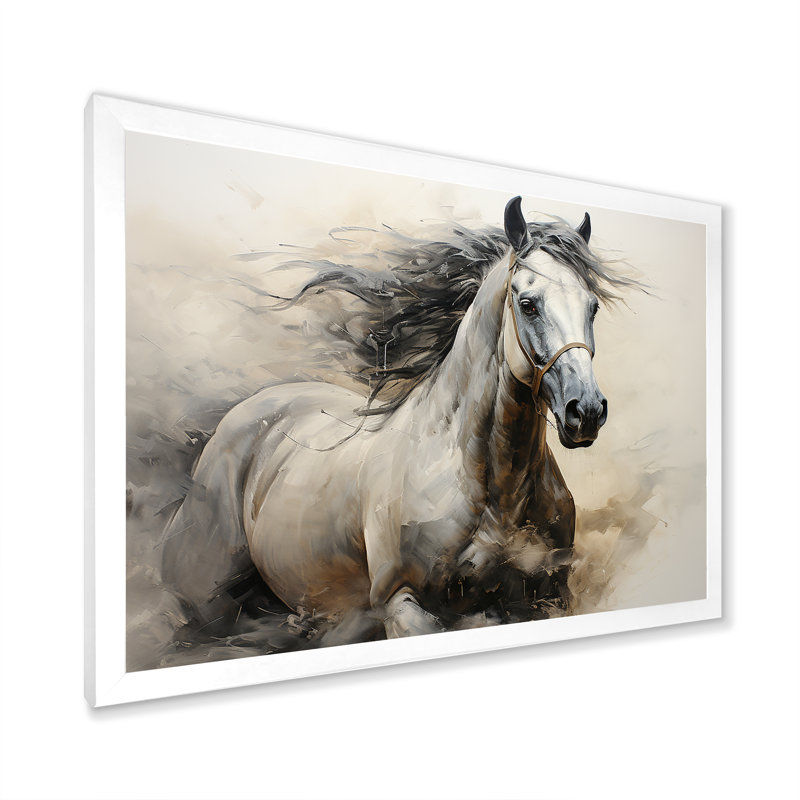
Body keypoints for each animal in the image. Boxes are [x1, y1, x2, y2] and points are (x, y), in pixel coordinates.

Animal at [160, 196, 629, 643]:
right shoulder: (403, 604)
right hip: (208, 606)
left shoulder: (546, 600)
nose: (586, 411)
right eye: (528, 305)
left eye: (592, 307)